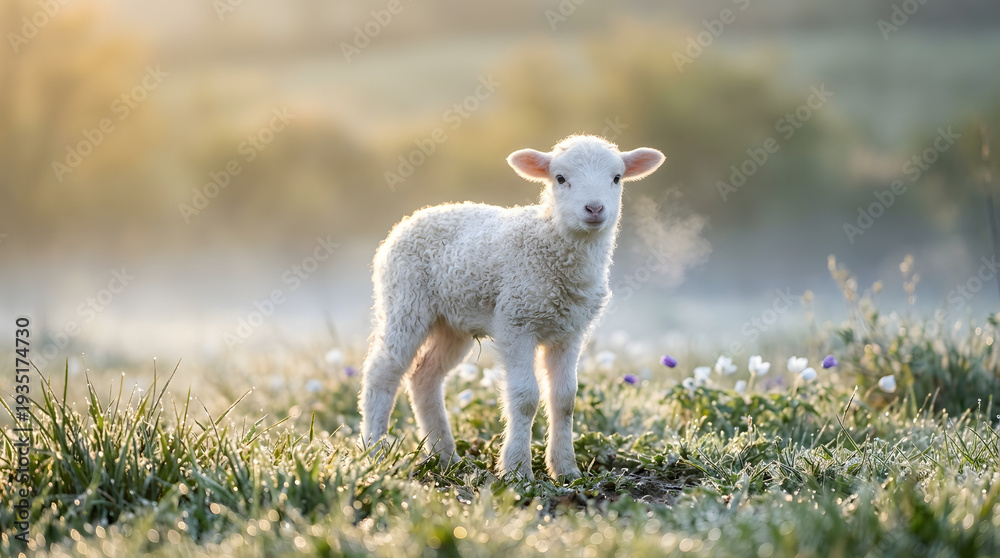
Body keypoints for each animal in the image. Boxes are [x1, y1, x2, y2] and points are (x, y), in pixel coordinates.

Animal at [359, 134, 665, 480]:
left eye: (617, 178)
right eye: (560, 178)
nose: (595, 208)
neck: (549, 244)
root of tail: (412, 217)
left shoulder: (570, 331)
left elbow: (565, 399)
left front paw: (566, 469)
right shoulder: (516, 321)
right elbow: (525, 398)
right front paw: (517, 471)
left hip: (451, 322)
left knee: (424, 377)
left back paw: (445, 456)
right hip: (405, 300)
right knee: (382, 372)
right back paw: (375, 452)